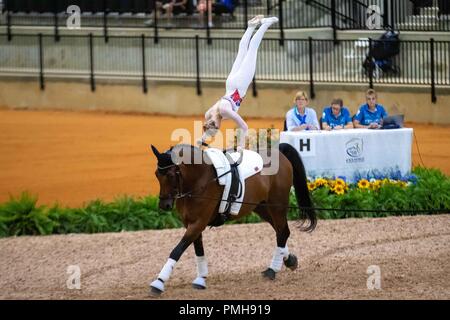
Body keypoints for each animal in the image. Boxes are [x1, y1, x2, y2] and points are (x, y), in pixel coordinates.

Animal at [149, 142, 316, 296]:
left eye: (170, 175)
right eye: (157, 174)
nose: (164, 205)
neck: (198, 180)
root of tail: (279, 151)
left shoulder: (198, 223)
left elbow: (177, 250)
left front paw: (159, 282)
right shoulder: (190, 224)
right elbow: (198, 249)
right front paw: (201, 279)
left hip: (277, 205)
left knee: (283, 231)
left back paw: (272, 270)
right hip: (261, 207)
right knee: (280, 231)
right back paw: (289, 260)